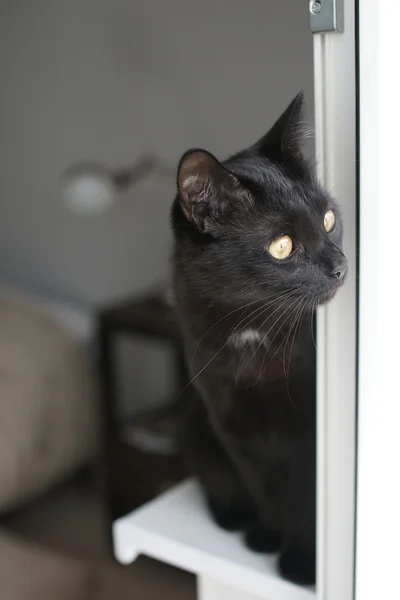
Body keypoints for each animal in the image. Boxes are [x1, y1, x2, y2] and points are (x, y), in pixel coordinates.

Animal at [170, 94, 346, 584]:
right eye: (282, 246)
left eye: (329, 220)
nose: (340, 266)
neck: (254, 332)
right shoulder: (233, 427)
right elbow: (262, 488)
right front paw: (267, 537)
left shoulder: (309, 436)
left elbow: (304, 501)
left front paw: (301, 564)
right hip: (193, 422)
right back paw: (233, 516)